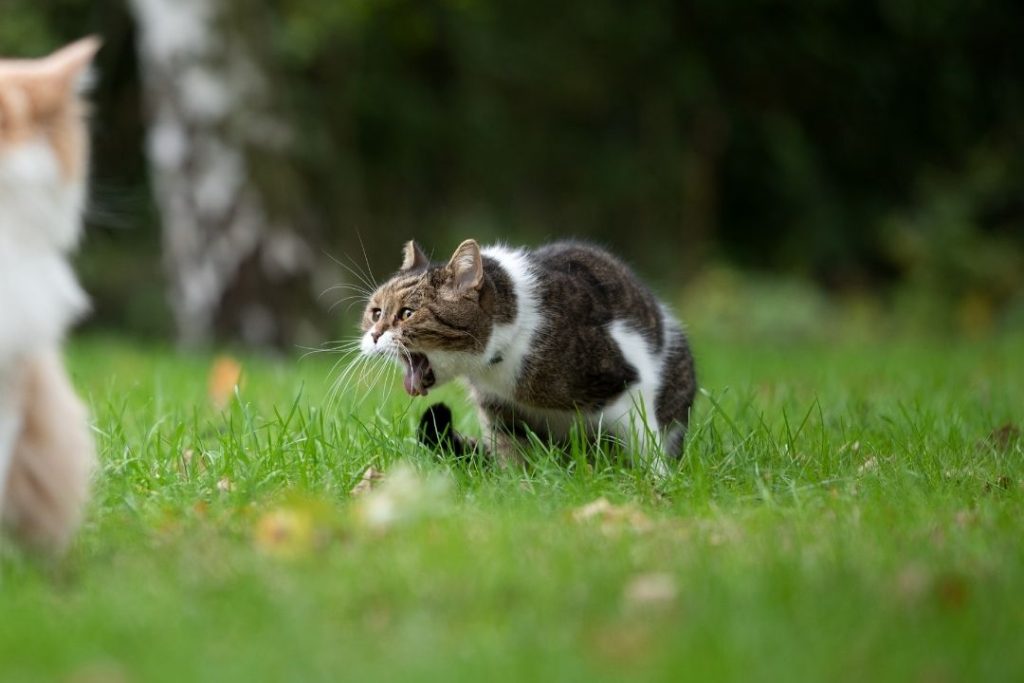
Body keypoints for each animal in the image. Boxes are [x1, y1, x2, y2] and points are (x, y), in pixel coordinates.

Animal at [358, 237, 696, 473]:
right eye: (376, 313)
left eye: (407, 313)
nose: (374, 335)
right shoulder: (500, 410)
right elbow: (513, 453)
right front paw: (519, 488)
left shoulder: (627, 378)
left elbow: (644, 441)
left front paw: (658, 482)